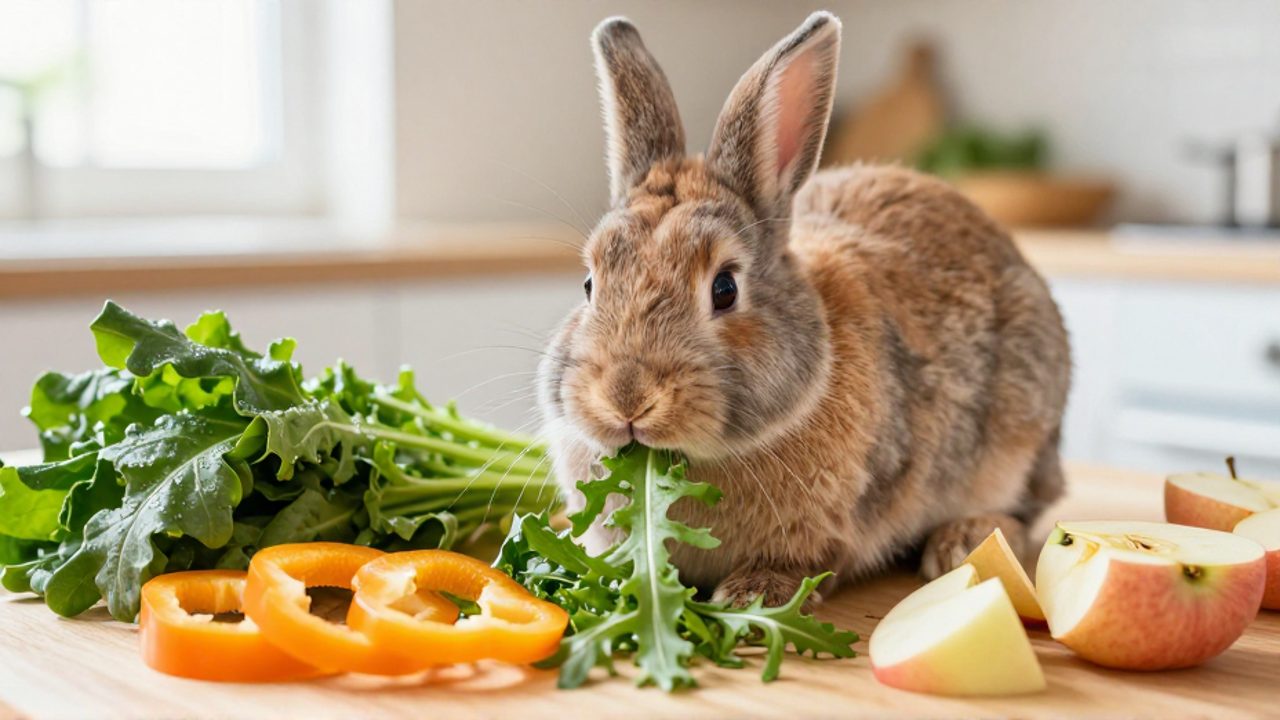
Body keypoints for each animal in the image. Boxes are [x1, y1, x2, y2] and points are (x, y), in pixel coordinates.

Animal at [536, 11, 1071, 608]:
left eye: (725, 288)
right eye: (589, 283)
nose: (627, 399)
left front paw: (751, 596)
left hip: (1022, 434)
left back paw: (962, 541)